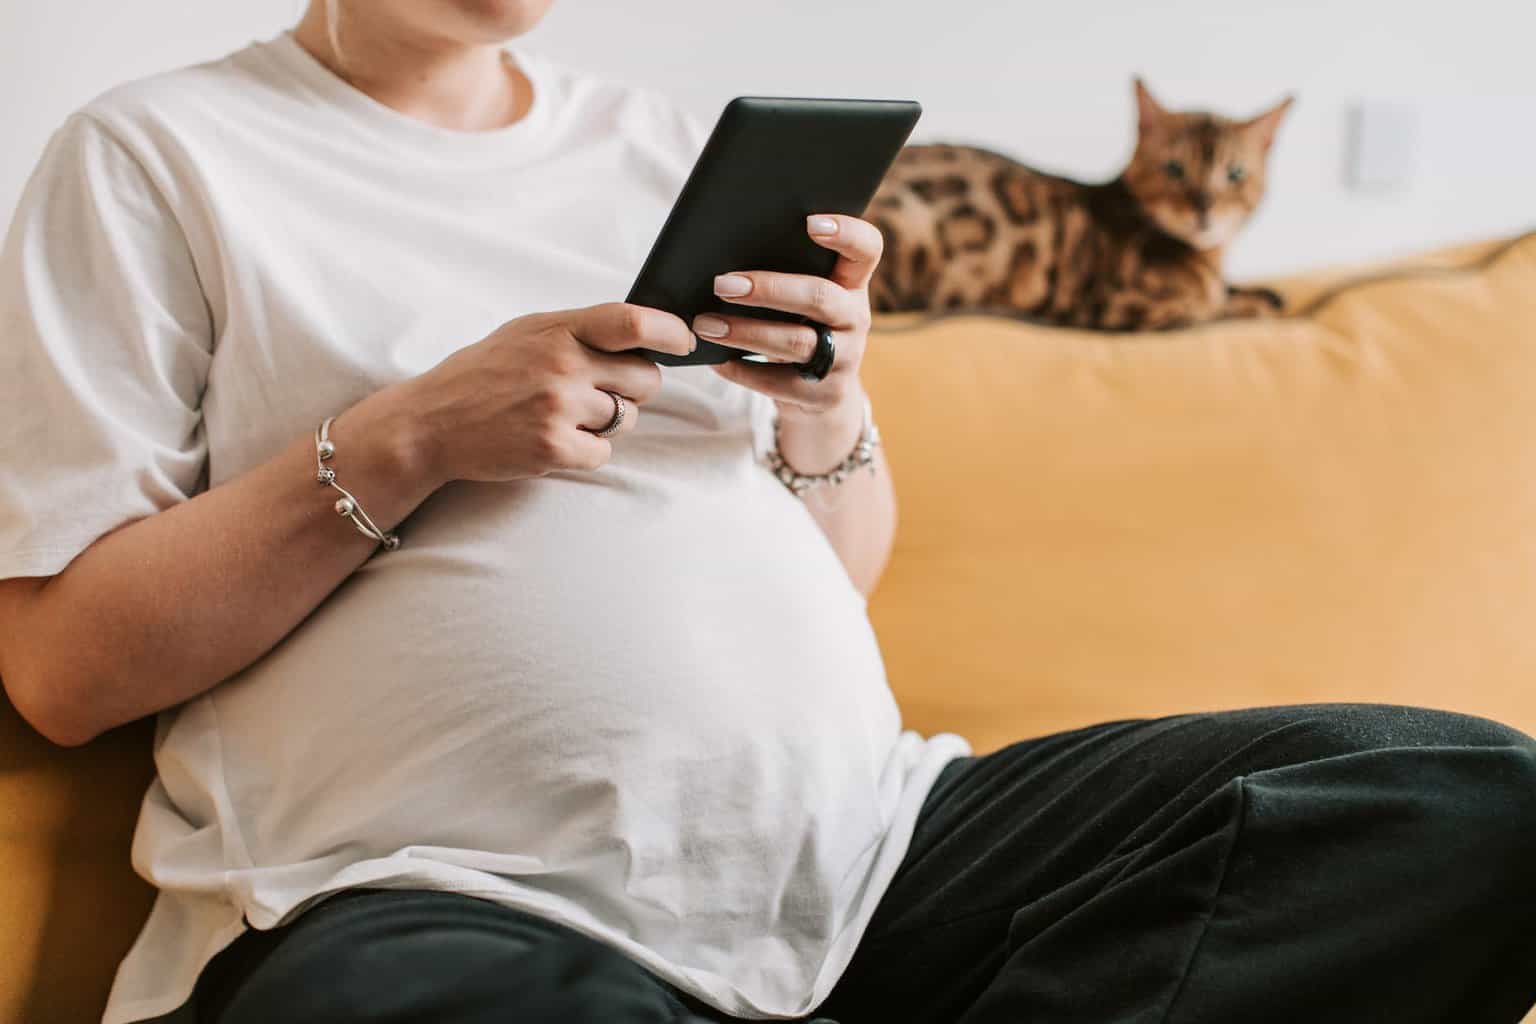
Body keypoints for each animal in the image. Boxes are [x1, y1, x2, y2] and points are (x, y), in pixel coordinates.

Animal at [872, 79, 1290, 330]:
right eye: (1174, 169)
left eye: (1235, 173)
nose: (1204, 207)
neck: (1209, 258)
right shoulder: (1122, 306)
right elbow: (1212, 310)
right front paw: (1251, 305)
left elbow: (1246, 293)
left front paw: (1261, 293)